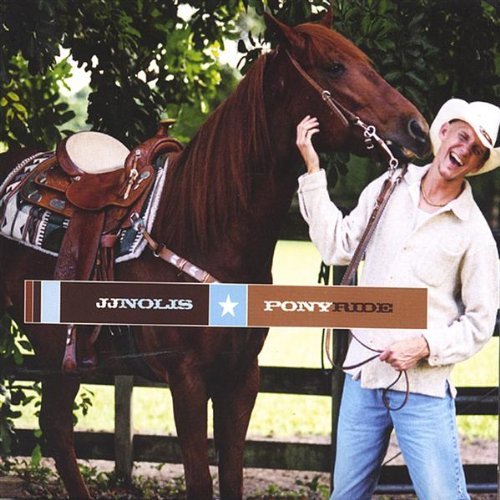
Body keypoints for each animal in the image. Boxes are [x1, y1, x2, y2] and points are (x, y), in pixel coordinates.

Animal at [0, 10, 430, 499]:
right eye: (335, 67)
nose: (418, 129)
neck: (204, 232)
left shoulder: (241, 377)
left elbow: (232, 475)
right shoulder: (187, 380)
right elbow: (200, 480)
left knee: (55, 425)